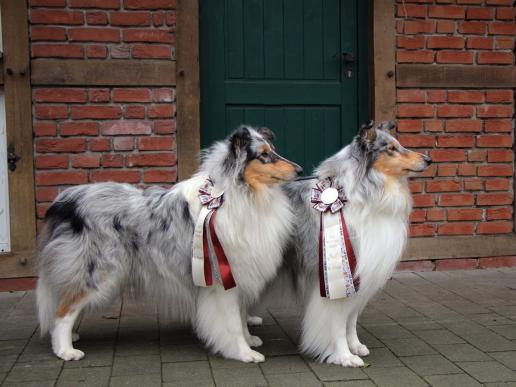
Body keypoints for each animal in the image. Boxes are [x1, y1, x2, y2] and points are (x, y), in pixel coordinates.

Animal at [36, 127, 302, 364]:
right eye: (264, 155)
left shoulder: (241, 274)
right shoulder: (222, 280)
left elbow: (242, 312)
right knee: (63, 312)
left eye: (273, 151)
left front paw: (249, 339)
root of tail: (65, 201)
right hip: (98, 273)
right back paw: (65, 350)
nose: (300, 169)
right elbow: (233, 322)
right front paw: (244, 352)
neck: (237, 195)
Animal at [282, 123, 432, 368]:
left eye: (399, 144)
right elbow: (336, 321)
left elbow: (350, 318)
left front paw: (355, 346)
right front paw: (344, 356)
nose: (428, 159)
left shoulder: (359, 274)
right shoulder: (333, 278)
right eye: (391, 148)